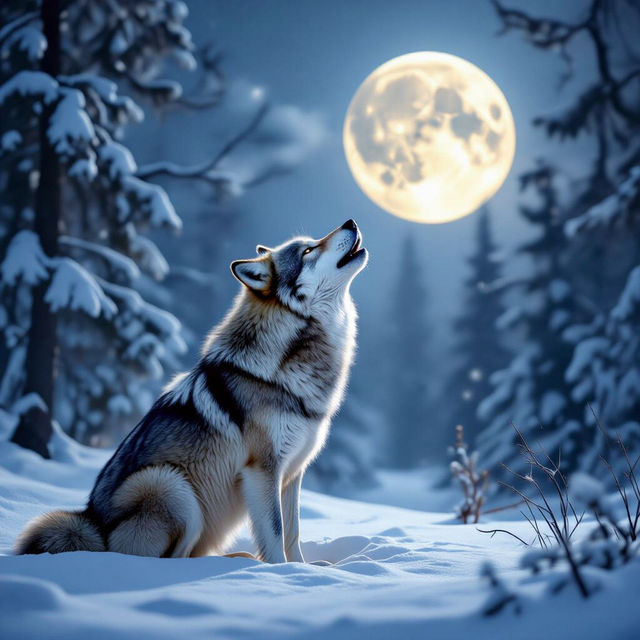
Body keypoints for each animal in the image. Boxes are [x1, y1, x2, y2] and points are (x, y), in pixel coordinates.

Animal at [15, 220, 367, 562]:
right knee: (174, 559)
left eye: (313, 242)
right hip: (171, 486)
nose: (350, 222)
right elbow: (275, 533)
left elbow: (292, 533)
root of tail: (94, 529)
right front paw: (280, 572)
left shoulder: (293, 474)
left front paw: (304, 570)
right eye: (308, 251)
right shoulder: (263, 470)